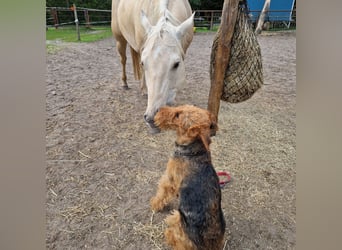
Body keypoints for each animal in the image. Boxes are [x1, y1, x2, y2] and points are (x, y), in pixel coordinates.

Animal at [111, 0, 194, 133]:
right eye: (143, 63)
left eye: (177, 64)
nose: (151, 118)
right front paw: (145, 91)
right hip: (120, 39)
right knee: (123, 60)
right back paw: (125, 83)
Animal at [151, 104, 226, 250]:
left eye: (178, 115)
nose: (158, 109)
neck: (193, 151)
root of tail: (208, 246)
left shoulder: (169, 179)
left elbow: (161, 194)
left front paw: (154, 204)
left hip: (182, 230)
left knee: (174, 238)